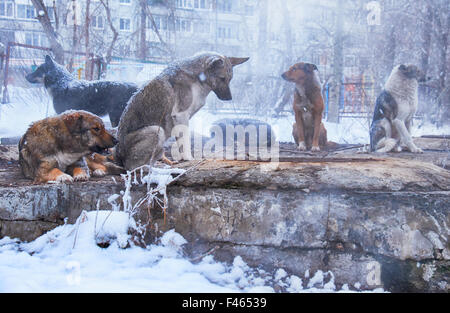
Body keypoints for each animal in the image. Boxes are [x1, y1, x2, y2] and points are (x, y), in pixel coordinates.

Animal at [116, 51, 250, 168]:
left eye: (230, 79)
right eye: (222, 78)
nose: (229, 98)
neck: (197, 78)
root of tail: (118, 156)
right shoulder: (181, 116)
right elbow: (185, 142)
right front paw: (188, 159)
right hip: (156, 130)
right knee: (134, 167)